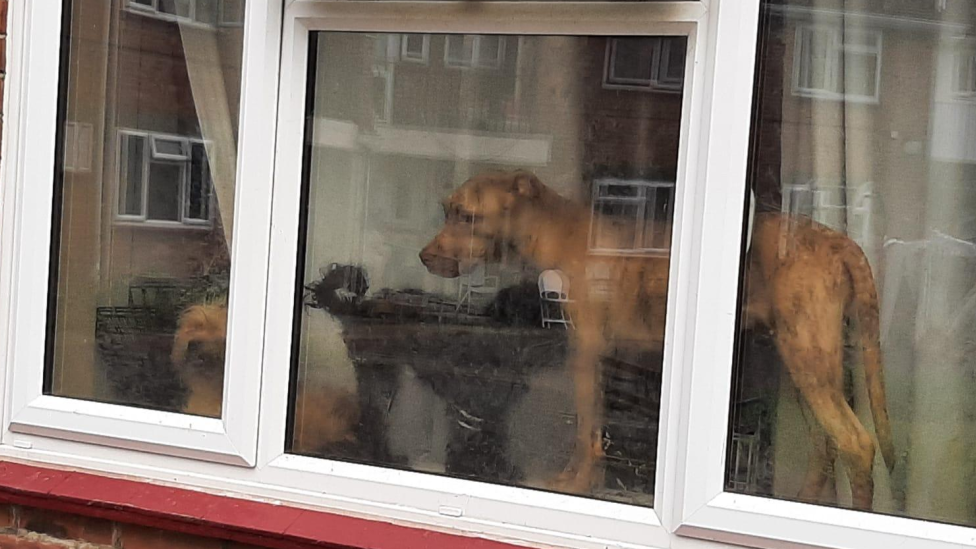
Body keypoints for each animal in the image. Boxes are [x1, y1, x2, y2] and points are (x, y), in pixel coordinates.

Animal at [420, 169, 892, 508]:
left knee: (857, 443)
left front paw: (575, 483)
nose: (424, 257)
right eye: (446, 210)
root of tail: (840, 242)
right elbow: (592, 428)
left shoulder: (586, 351)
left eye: (468, 216)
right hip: (806, 364)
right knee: (826, 446)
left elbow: (586, 430)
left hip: (808, 361)